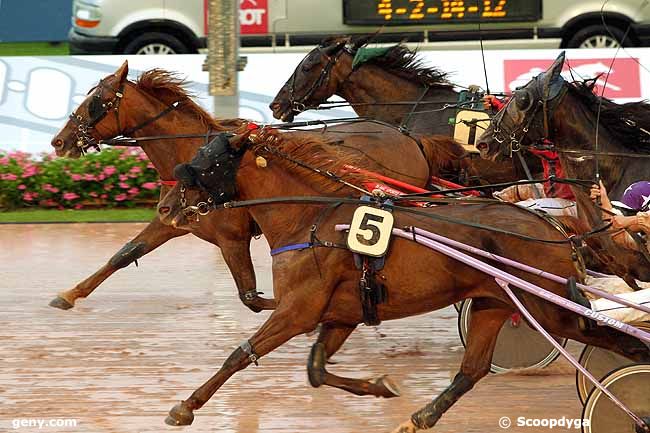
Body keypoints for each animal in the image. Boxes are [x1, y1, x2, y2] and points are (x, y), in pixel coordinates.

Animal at [48, 60, 458, 310]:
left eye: (97, 102)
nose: (59, 141)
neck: (196, 154)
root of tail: (409, 137)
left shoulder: (231, 238)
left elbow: (252, 296)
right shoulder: (173, 218)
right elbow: (124, 254)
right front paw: (69, 294)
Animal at [154, 130, 644, 430]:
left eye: (203, 163)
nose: (165, 207)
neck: (311, 218)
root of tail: (554, 228)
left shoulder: (298, 310)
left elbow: (240, 356)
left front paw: (185, 407)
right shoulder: (342, 313)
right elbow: (316, 369)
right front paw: (380, 386)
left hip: (550, 308)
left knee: (618, 341)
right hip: (495, 302)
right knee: (472, 370)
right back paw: (421, 416)